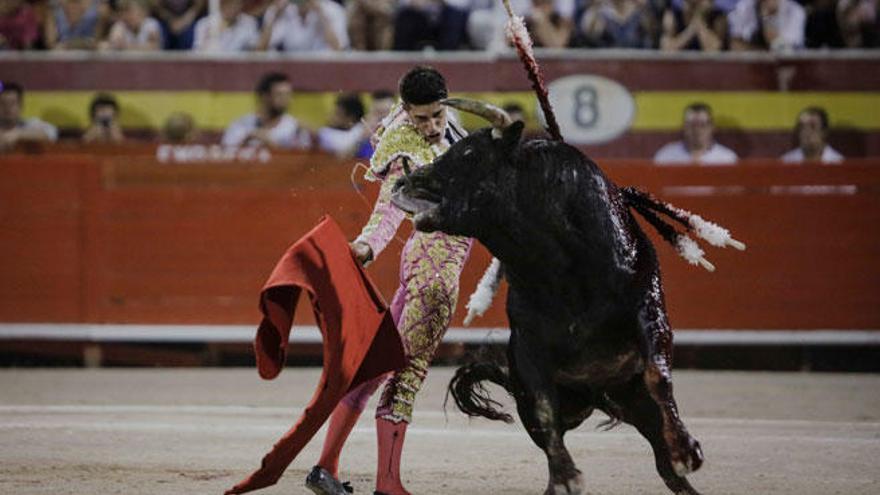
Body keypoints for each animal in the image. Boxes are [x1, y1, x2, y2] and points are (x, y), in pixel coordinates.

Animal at [392, 121, 708, 495]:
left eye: (469, 153)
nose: (401, 183)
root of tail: (595, 395)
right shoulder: (529, 345)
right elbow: (544, 409)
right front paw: (567, 475)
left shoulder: (649, 310)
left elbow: (658, 375)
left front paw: (687, 451)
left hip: (635, 400)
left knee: (665, 462)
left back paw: (678, 456)